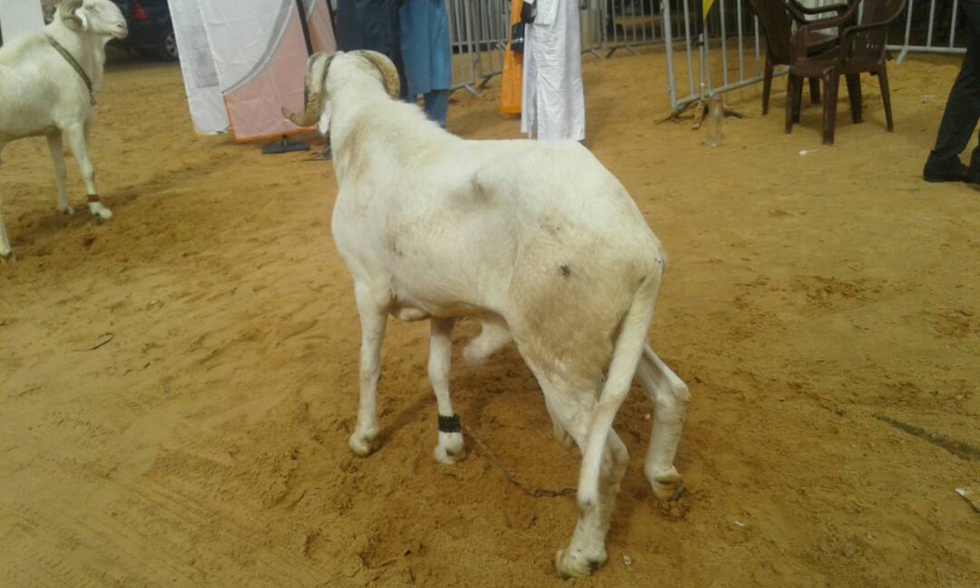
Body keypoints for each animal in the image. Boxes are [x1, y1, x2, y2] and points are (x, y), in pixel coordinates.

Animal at [0, 0, 127, 258]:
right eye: (92, 7)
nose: (122, 26)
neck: (68, 54)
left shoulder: (52, 131)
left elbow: (60, 169)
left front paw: (65, 208)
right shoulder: (74, 124)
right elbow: (88, 169)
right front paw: (99, 210)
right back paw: (6, 251)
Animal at [286, 50, 688, 580]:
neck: (365, 133)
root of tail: (645, 249)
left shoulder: (367, 289)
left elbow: (369, 366)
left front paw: (363, 437)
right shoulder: (442, 304)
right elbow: (437, 370)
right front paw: (450, 442)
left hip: (557, 353)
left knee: (606, 462)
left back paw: (580, 556)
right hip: (617, 335)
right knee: (672, 393)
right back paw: (662, 477)